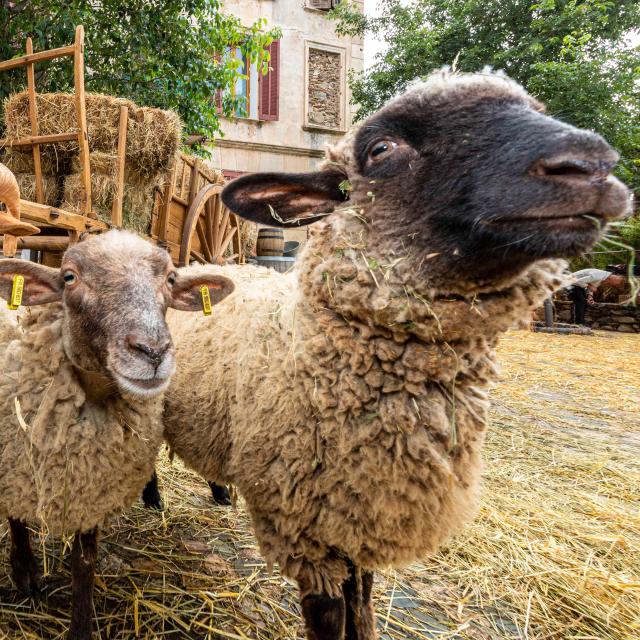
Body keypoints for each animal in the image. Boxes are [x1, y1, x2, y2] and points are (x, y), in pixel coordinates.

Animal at [156, 71, 632, 640]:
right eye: (381, 149)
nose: (593, 163)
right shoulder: (305, 528)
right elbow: (330, 614)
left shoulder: (362, 514)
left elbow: (361, 599)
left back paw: (221, 491)